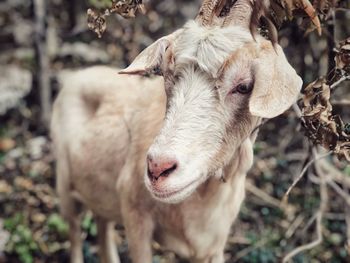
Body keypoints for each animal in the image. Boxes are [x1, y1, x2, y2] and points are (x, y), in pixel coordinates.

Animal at [50, 1, 302, 262]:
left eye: (244, 86)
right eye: (166, 74)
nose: (157, 168)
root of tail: (78, 76)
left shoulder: (213, 243)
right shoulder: (134, 212)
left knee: (102, 222)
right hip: (65, 186)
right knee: (74, 229)